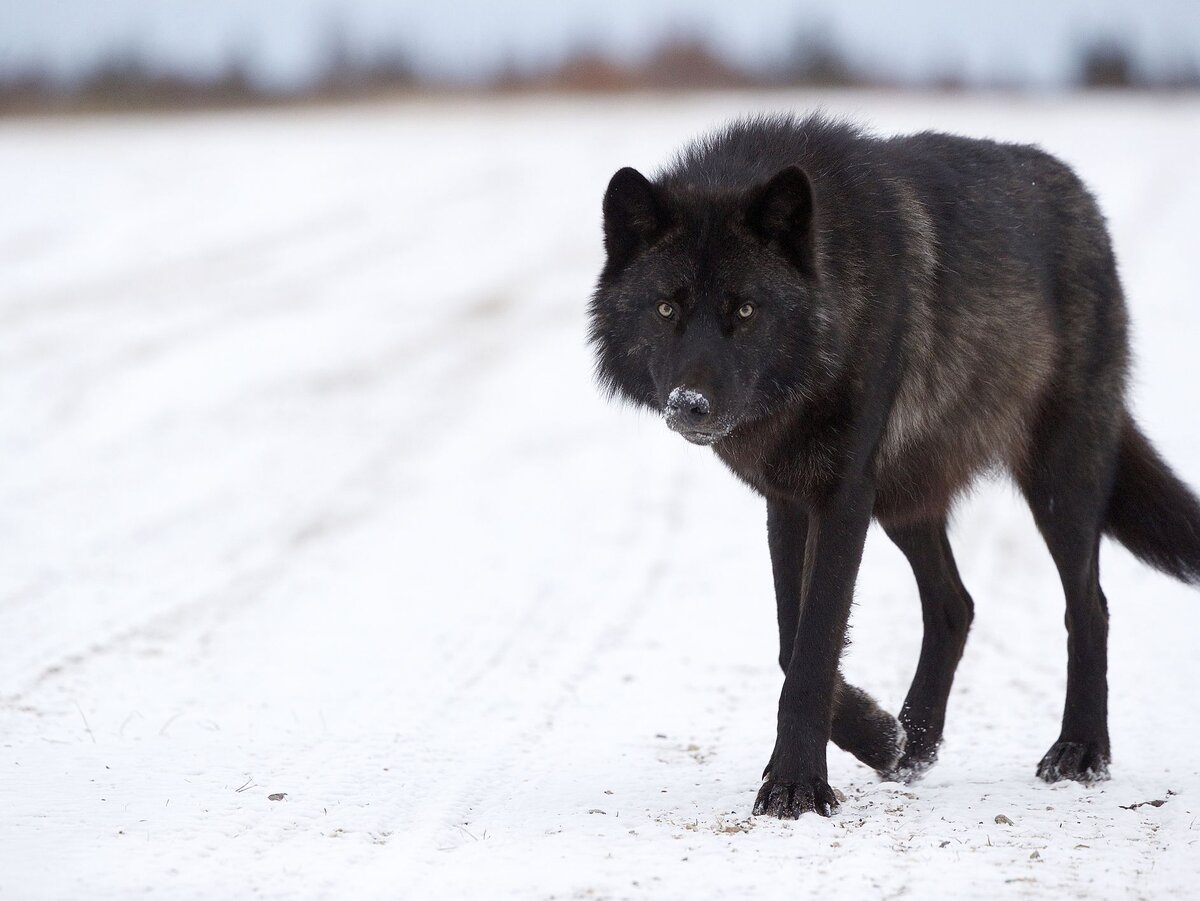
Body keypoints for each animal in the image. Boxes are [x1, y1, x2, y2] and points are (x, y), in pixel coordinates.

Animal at [588, 110, 1200, 815]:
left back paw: (1081, 751)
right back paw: (914, 744)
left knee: (1088, 606)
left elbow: (813, 646)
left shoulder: (843, 495)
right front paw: (881, 738)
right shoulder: (790, 498)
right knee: (955, 606)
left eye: (744, 309)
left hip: (1058, 483)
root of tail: (1082, 199)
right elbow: (790, 640)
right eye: (667, 308)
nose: (691, 405)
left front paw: (797, 785)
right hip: (906, 501)